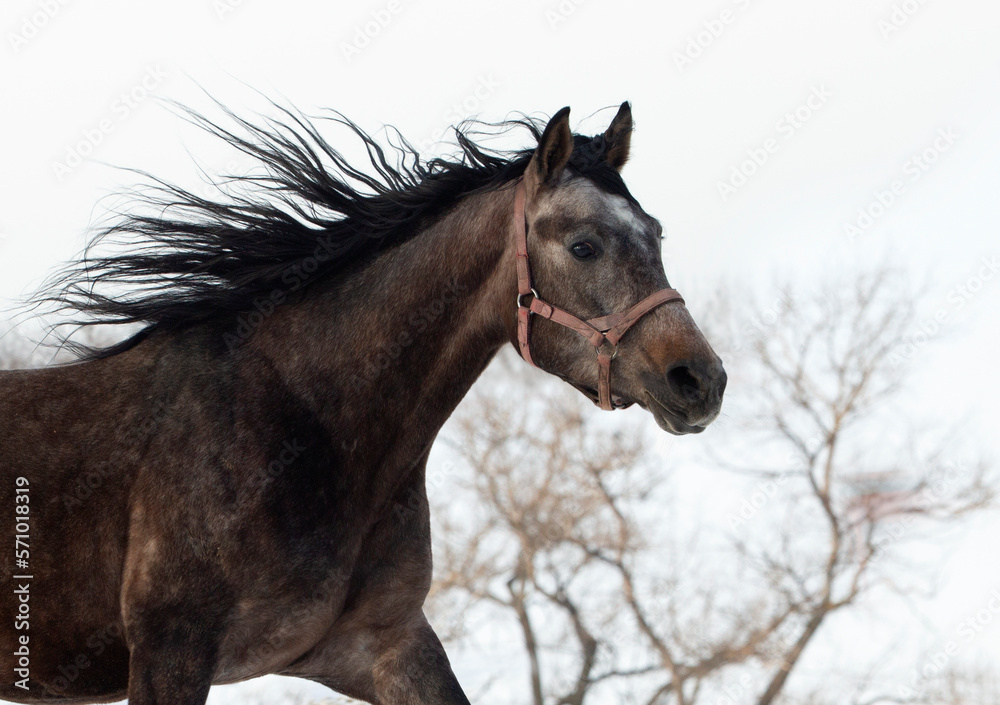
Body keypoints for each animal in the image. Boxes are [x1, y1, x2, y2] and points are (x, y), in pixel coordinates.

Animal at [0, 100, 726, 704]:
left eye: (656, 234)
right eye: (583, 245)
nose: (700, 380)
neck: (304, 422)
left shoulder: (386, 643)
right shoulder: (169, 650)